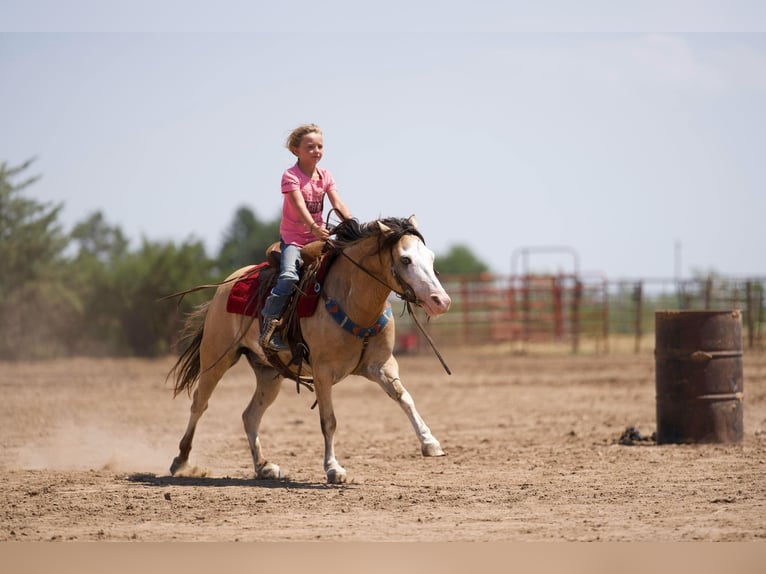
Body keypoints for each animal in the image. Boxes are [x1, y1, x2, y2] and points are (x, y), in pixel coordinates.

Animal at [167, 216, 451, 484]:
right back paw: (181, 460)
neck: (354, 302)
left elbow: (405, 398)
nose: (441, 301)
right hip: (216, 357)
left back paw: (264, 467)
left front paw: (430, 443)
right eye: (405, 259)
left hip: (269, 373)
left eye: (430, 257)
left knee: (250, 415)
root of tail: (227, 284)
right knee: (199, 404)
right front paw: (334, 469)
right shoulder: (323, 372)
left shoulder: (382, 365)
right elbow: (329, 420)